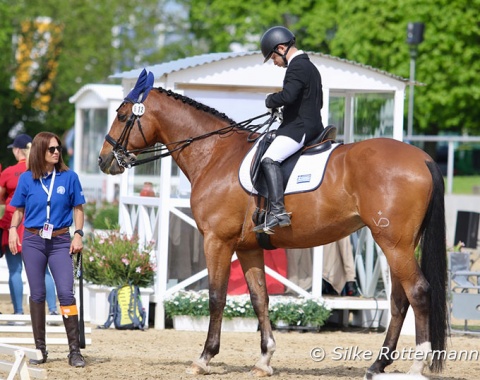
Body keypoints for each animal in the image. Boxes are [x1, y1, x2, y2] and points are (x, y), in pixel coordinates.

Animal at [97, 73, 446, 378]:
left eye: (122, 115)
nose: (104, 160)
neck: (215, 155)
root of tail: (423, 158)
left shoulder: (217, 241)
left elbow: (216, 297)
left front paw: (204, 358)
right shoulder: (248, 248)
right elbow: (259, 299)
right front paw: (264, 360)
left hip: (394, 244)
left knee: (417, 292)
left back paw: (416, 366)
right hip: (397, 245)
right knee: (400, 299)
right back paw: (378, 365)